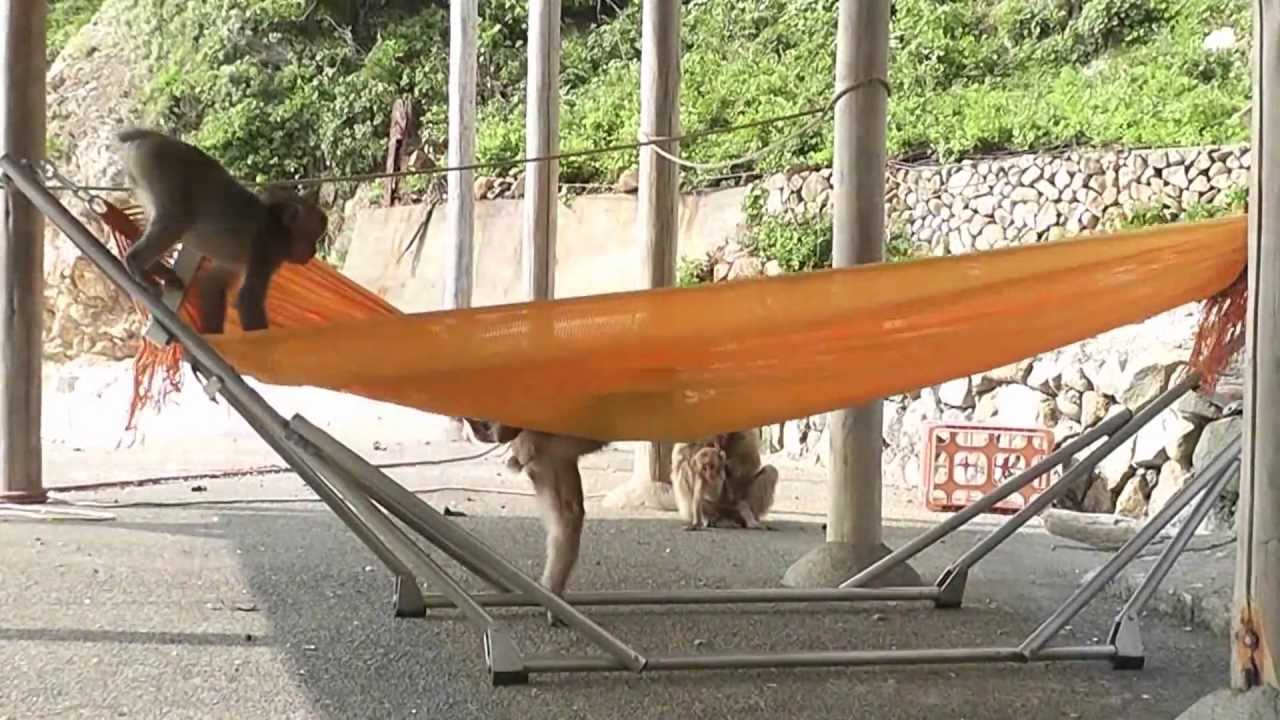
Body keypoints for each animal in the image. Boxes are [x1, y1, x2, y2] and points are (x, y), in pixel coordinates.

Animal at [115, 127, 328, 333]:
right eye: (313, 238)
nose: (313, 251)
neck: (278, 225)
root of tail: (156, 136)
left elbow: (212, 284)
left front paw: (212, 331)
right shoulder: (266, 250)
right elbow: (247, 301)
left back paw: (155, 268)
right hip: (161, 167)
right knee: (176, 221)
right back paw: (136, 263)